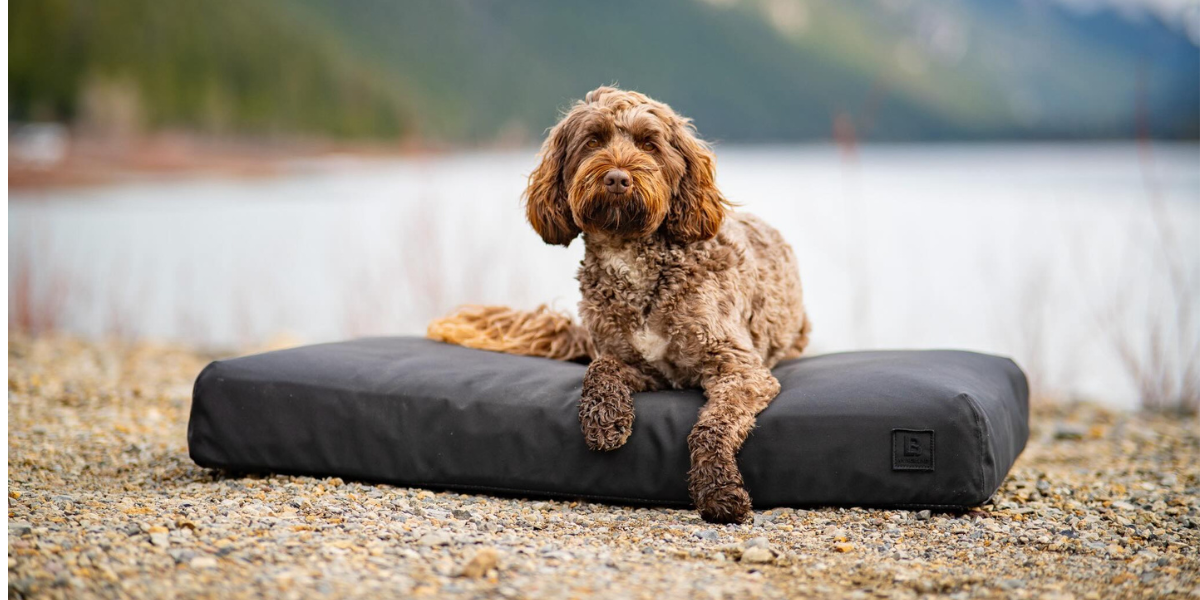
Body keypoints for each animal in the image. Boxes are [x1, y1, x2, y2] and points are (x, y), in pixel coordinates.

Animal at [427, 85, 811, 525]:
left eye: (649, 143)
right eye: (593, 141)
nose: (616, 178)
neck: (633, 260)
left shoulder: (742, 369)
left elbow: (712, 425)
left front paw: (718, 489)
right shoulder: (641, 366)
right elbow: (600, 368)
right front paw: (604, 419)